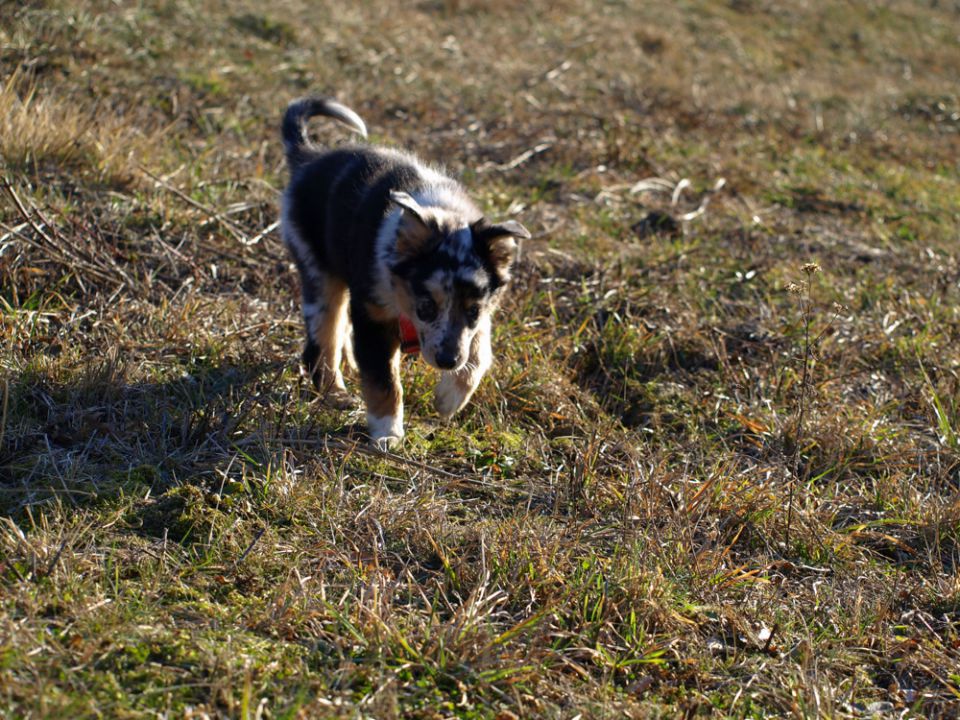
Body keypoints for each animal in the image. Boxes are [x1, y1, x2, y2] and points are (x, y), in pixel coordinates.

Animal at [282, 95, 528, 444]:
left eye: (474, 311)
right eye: (426, 307)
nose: (447, 361)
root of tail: (308, 157)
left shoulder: (482, 317)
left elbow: (479, 354)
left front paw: (449, 398)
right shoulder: (373, 314)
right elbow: (383, 378)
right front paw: (387, 433)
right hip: (318, 272)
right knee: (322, 342)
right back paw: (337, 393)